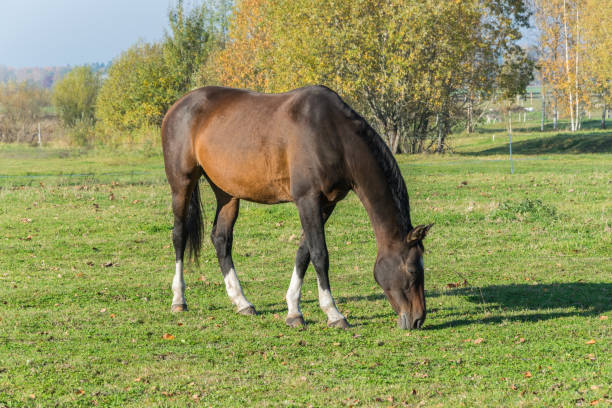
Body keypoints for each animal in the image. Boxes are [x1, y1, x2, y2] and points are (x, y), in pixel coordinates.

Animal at [161, 85, 430, 328]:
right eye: (413, 270)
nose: (418, 319)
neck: (333, 135)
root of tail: (178, 106)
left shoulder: (326, 204)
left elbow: (304, 253)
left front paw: (293, 311)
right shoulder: (307, 199)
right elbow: (320, 254)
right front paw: (334, 314)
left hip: (227, 193)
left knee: (221, 239)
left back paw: (242, 302)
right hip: (182, 184)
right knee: (179, 235)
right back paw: (179, 300)